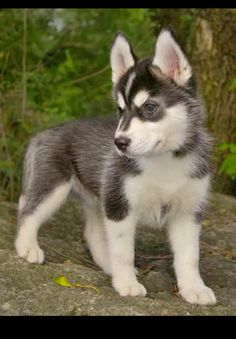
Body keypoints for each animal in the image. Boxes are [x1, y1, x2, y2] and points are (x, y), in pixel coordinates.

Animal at [15, 29, 217, 306]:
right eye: (120, 110)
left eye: (149, 107)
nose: (119, 143)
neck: (164, 160)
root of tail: (43, 132)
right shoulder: (120, 205)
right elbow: (124, 252)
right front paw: (127, 284)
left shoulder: (188, 211)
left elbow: (189, 256)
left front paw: (194, 288)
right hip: (53, 185)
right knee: (28, 213)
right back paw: (27, 248)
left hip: (98, 198)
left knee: (92, 233)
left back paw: (107, 266)